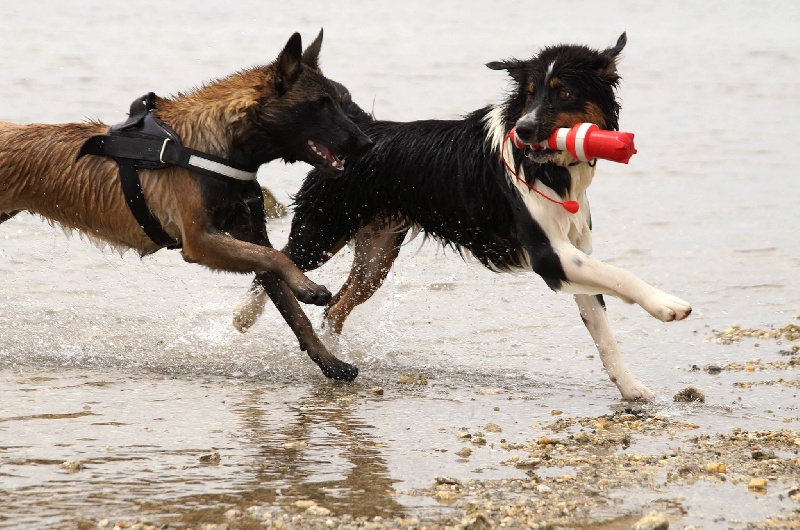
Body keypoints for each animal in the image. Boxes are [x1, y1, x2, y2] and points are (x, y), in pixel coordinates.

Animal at [0, 29, 372, 380]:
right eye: (320, 104)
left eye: (339, 102)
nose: (366, 143)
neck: (220, 144)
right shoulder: (200, 241)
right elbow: (277, 258)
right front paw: (308, 287)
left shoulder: (248, 234)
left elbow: (290, 307)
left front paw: (330, 363)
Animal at [231, 32, 688, 396]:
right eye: (530, 93)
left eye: (563, 93)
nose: (523, 129)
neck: (550, 169)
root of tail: (366, 130)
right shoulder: (549, 255)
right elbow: (621, 275)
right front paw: (667, 305)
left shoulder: (573, 253)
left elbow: (604, 333)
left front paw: (632, 389)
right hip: (323, 231)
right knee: (275, 262)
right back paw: (242, 318)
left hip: (376, 258)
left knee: (335, 308)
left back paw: (335, 353)